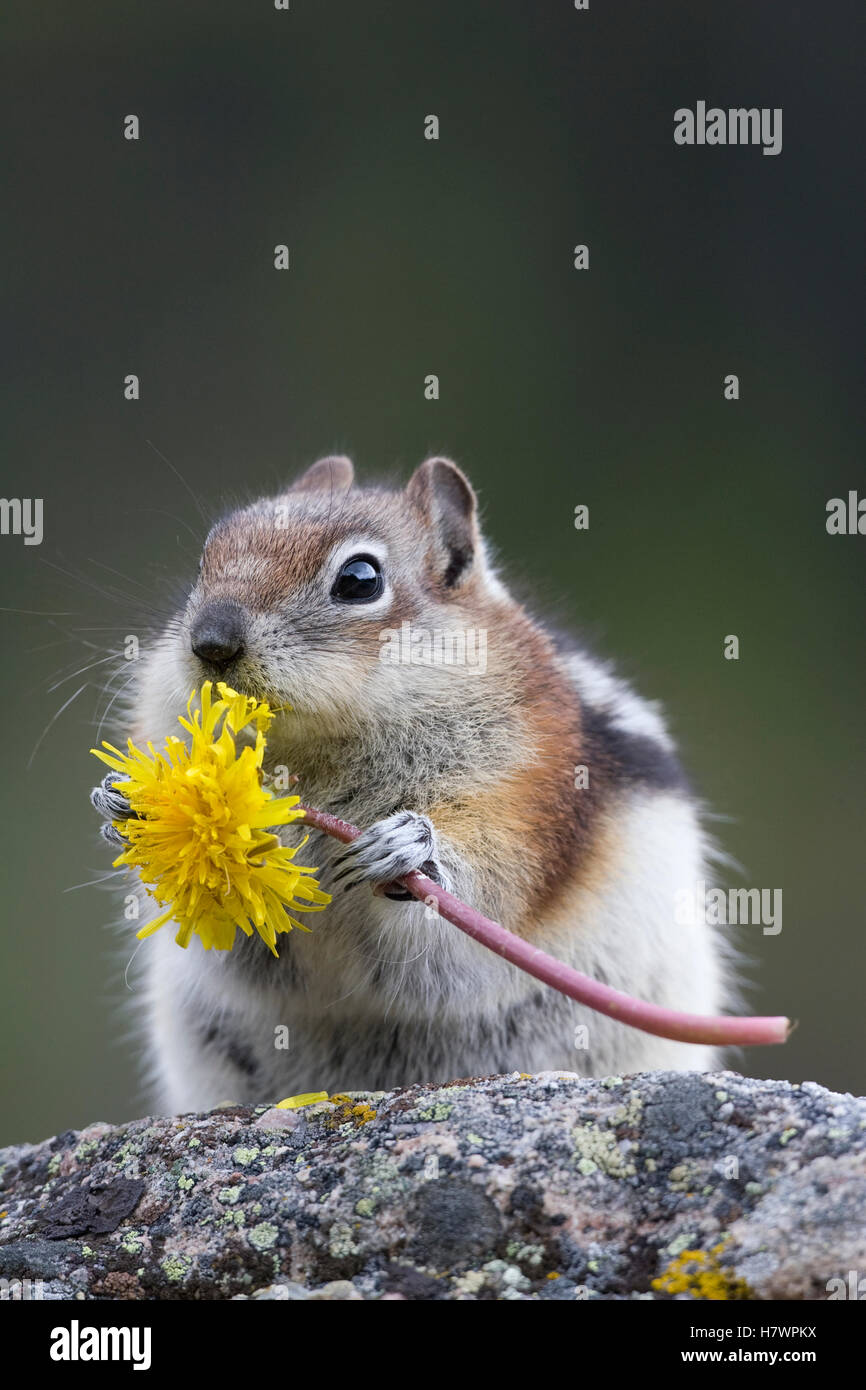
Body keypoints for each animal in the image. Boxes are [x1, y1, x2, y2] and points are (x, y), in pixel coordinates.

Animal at [91, 455, 731, 1113]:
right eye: (206, 558)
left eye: (360, 579)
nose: (211, 641)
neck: (319, 758)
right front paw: (122, 803)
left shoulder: (526, 801)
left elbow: (487, 888)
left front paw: (409, 847)